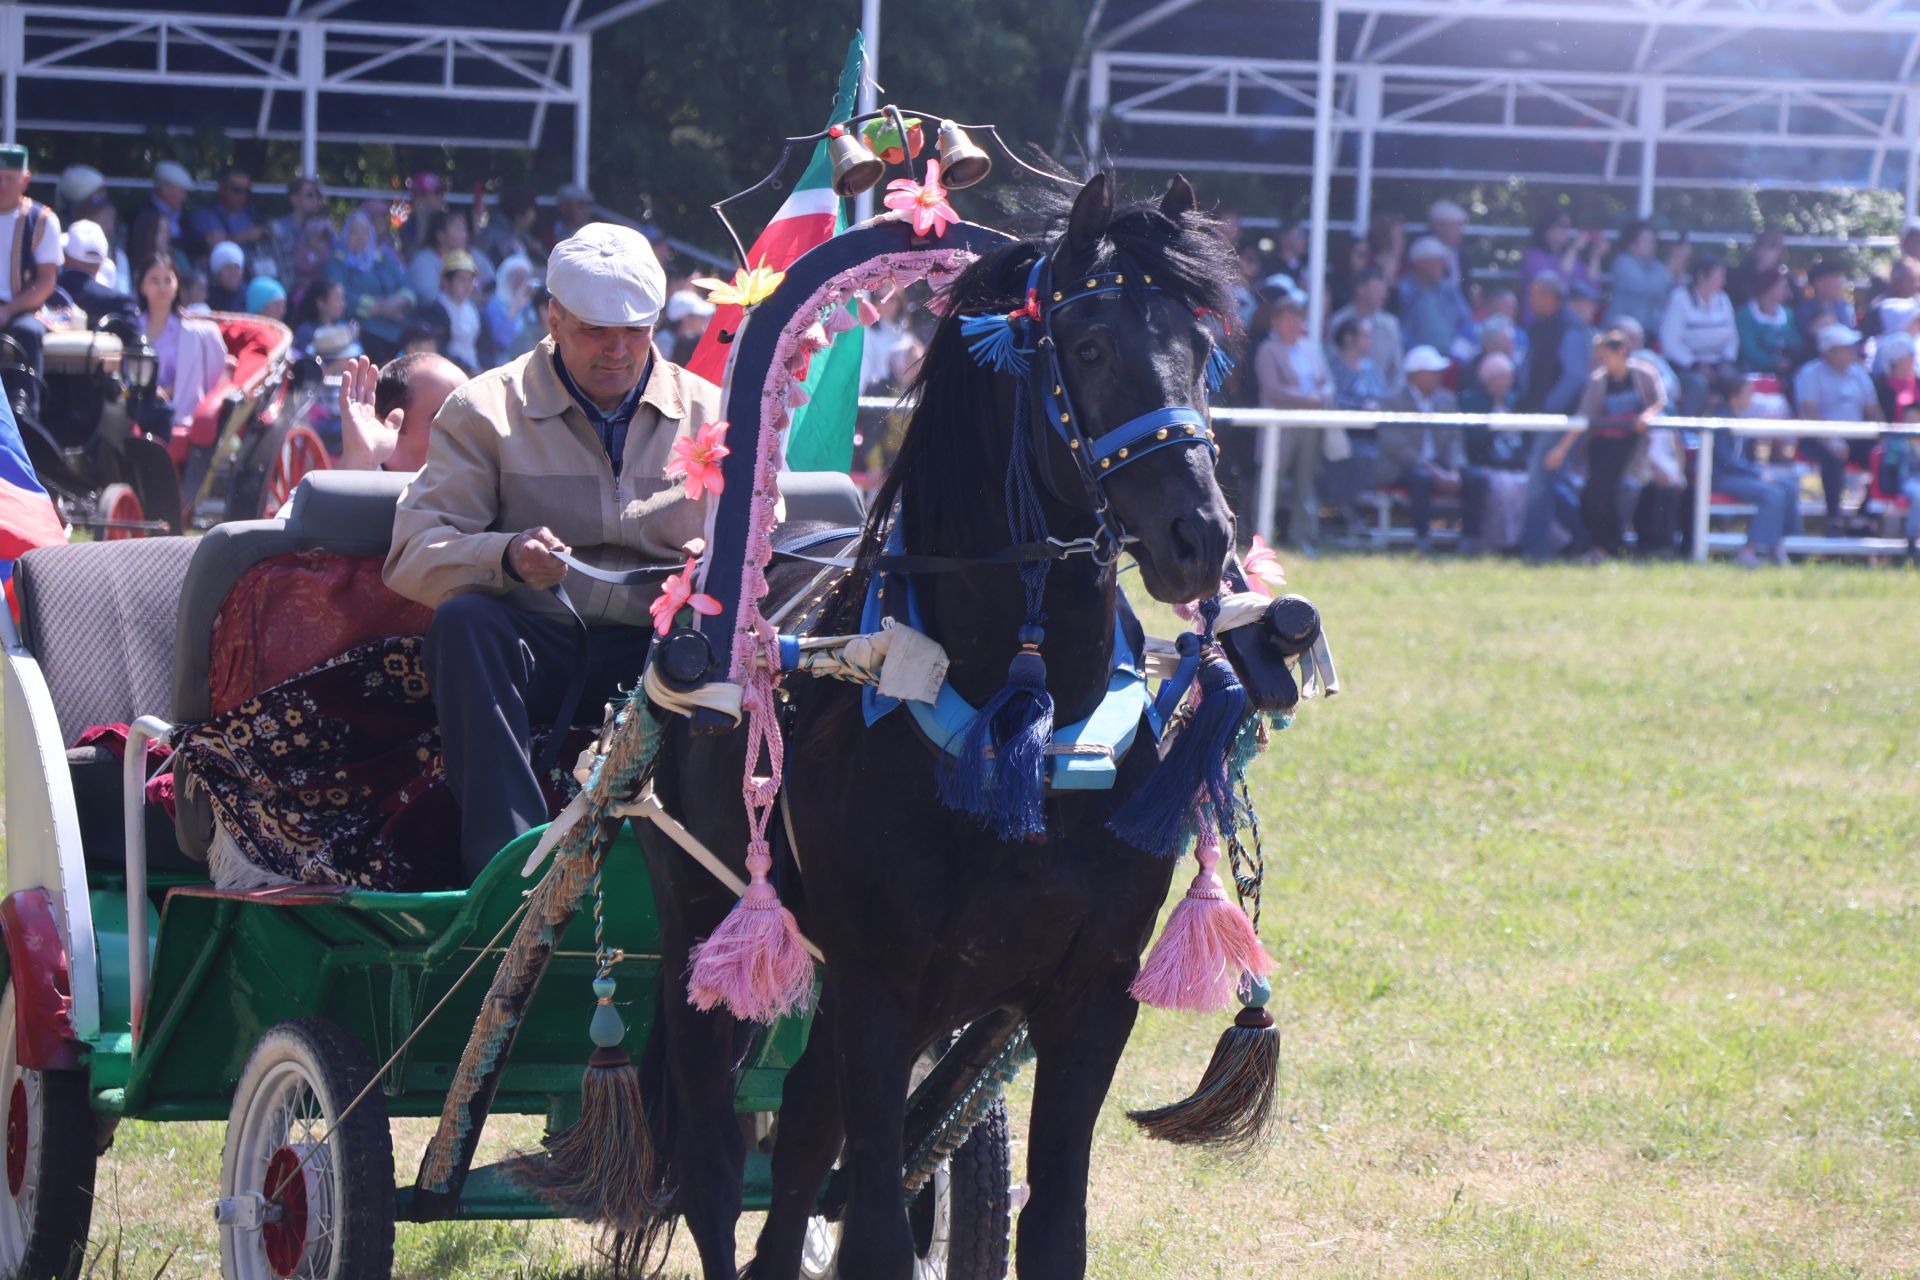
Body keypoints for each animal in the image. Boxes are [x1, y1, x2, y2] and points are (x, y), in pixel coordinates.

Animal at [641, 172, 1290, 1280]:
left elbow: (1054, 1223)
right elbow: (874, 1229)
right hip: (699, 921)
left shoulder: (1089, 995)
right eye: (1090, 346)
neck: (1022, 723)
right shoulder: (881, 988)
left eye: (1203, 350)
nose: (1199, 534)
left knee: (801, 1138)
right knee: (717, 1159)